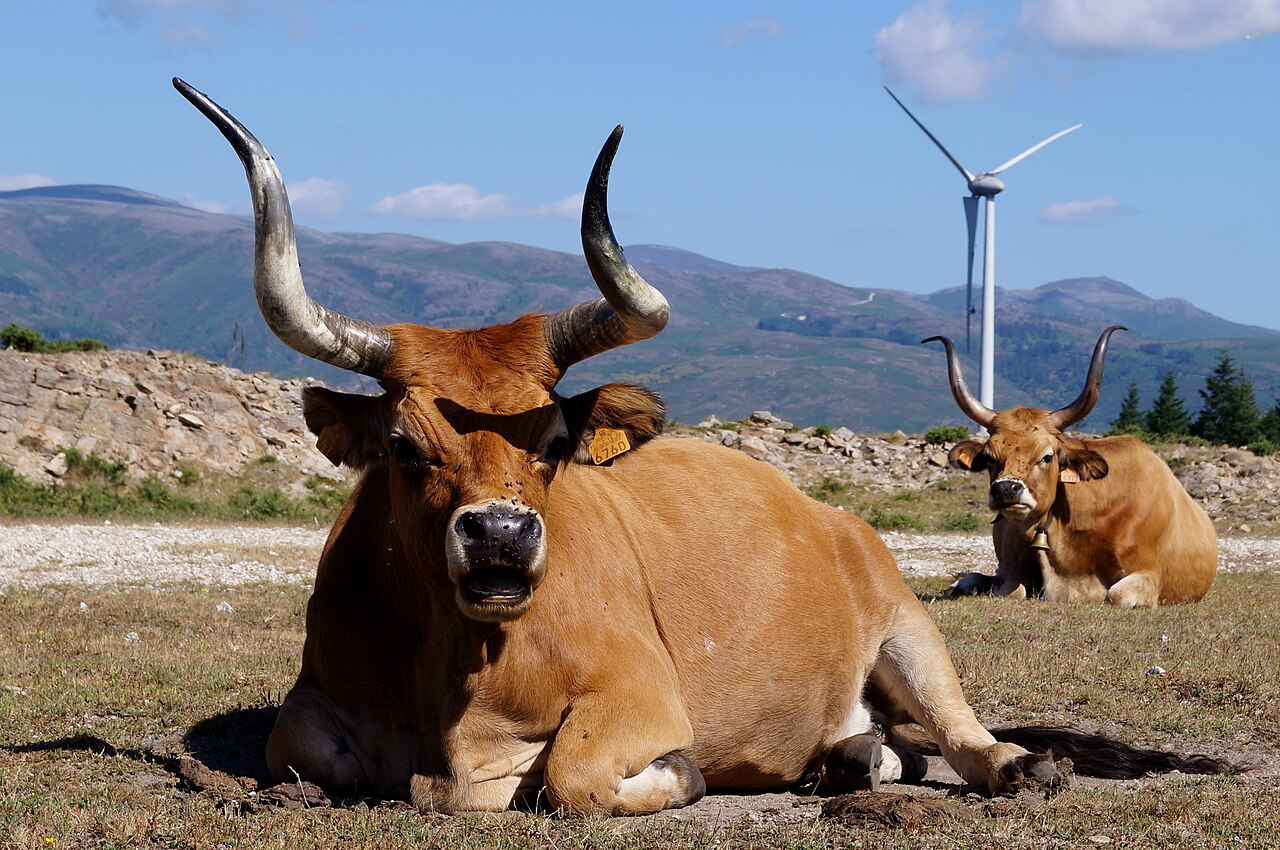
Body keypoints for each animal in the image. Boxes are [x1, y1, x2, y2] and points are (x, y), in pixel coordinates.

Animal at [924, 327, 1218, 608]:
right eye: (989, 457)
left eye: (1046, 456)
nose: (1006, 489)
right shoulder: (1016, 566)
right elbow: (1009, 588)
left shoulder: (1148, 573)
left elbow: (1118, 595)